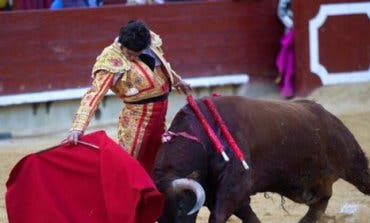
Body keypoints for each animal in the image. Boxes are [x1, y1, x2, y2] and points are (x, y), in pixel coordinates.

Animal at [151, 95, 370, 222]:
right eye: (158, 214)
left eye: (181, 207)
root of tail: (326, 114)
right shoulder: (220, 192)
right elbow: (249, 215)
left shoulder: (234, 186)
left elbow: (219, 216)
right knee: (321, 200)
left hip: (353, 161)